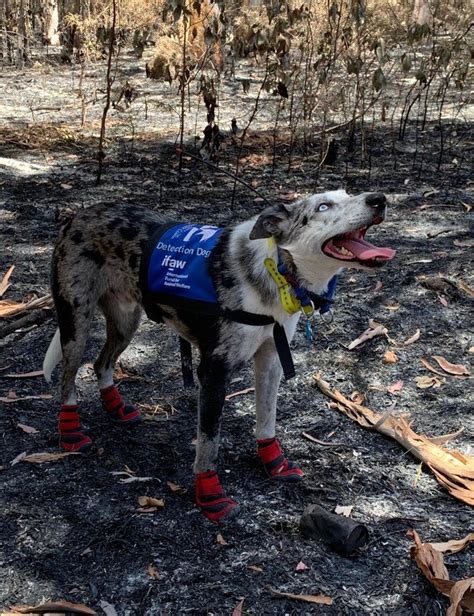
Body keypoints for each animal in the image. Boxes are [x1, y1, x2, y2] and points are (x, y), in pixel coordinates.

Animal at [42, 188, 396, 520]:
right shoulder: (213, 372)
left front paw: (276, 465)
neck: (277, 270)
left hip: (126, 321)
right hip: (76, 325)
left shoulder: (271, 361)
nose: (379, 199)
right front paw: (210, 496)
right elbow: (209, 442)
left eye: (348, 194)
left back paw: (115, 407)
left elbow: (266, 421)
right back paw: (70, 433)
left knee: (101, 363)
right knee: (68, 378)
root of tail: (79, 215)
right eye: (323, 206)